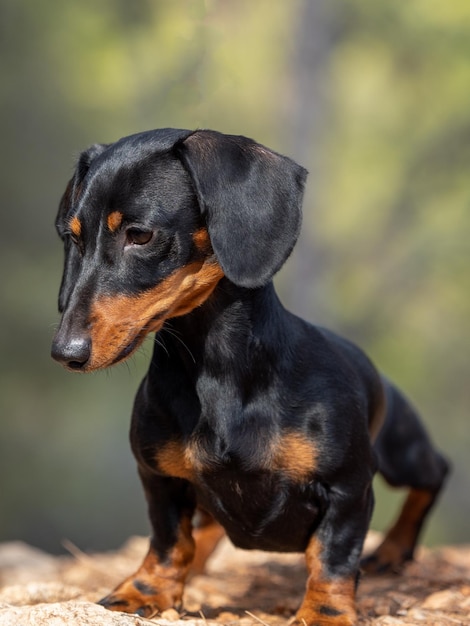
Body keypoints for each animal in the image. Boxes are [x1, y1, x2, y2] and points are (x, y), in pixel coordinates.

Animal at [50, 128, 448, 624]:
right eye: (74, 237)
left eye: (139, 235)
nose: (65, 352)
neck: (217, 371)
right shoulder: (158, 477)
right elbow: (169, 540)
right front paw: (145, 590)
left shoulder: (348, 487)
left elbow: (333, 556)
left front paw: (325, 612)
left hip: (400, 449)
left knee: (434, 474)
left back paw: (393, 550)